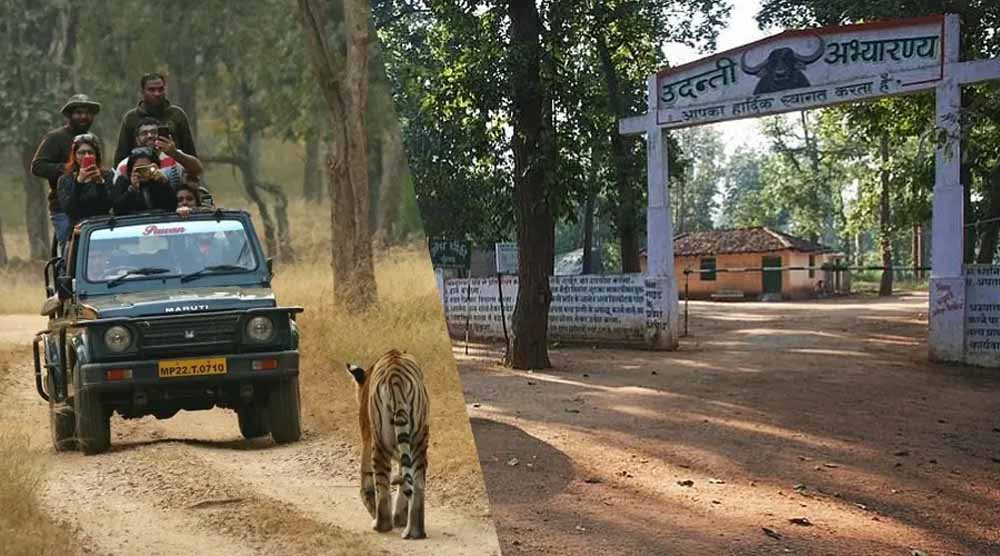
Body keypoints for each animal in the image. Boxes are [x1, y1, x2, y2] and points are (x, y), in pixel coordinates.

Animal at [346, 349, 429, 540]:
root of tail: (395, 375)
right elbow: (404, 480)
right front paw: (400, 517)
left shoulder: (367, 436)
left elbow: (366, 478)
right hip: (419, 440)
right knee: (418, 484)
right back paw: (415, 532)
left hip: (379, 442)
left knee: (382, 487)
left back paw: (380, 524)